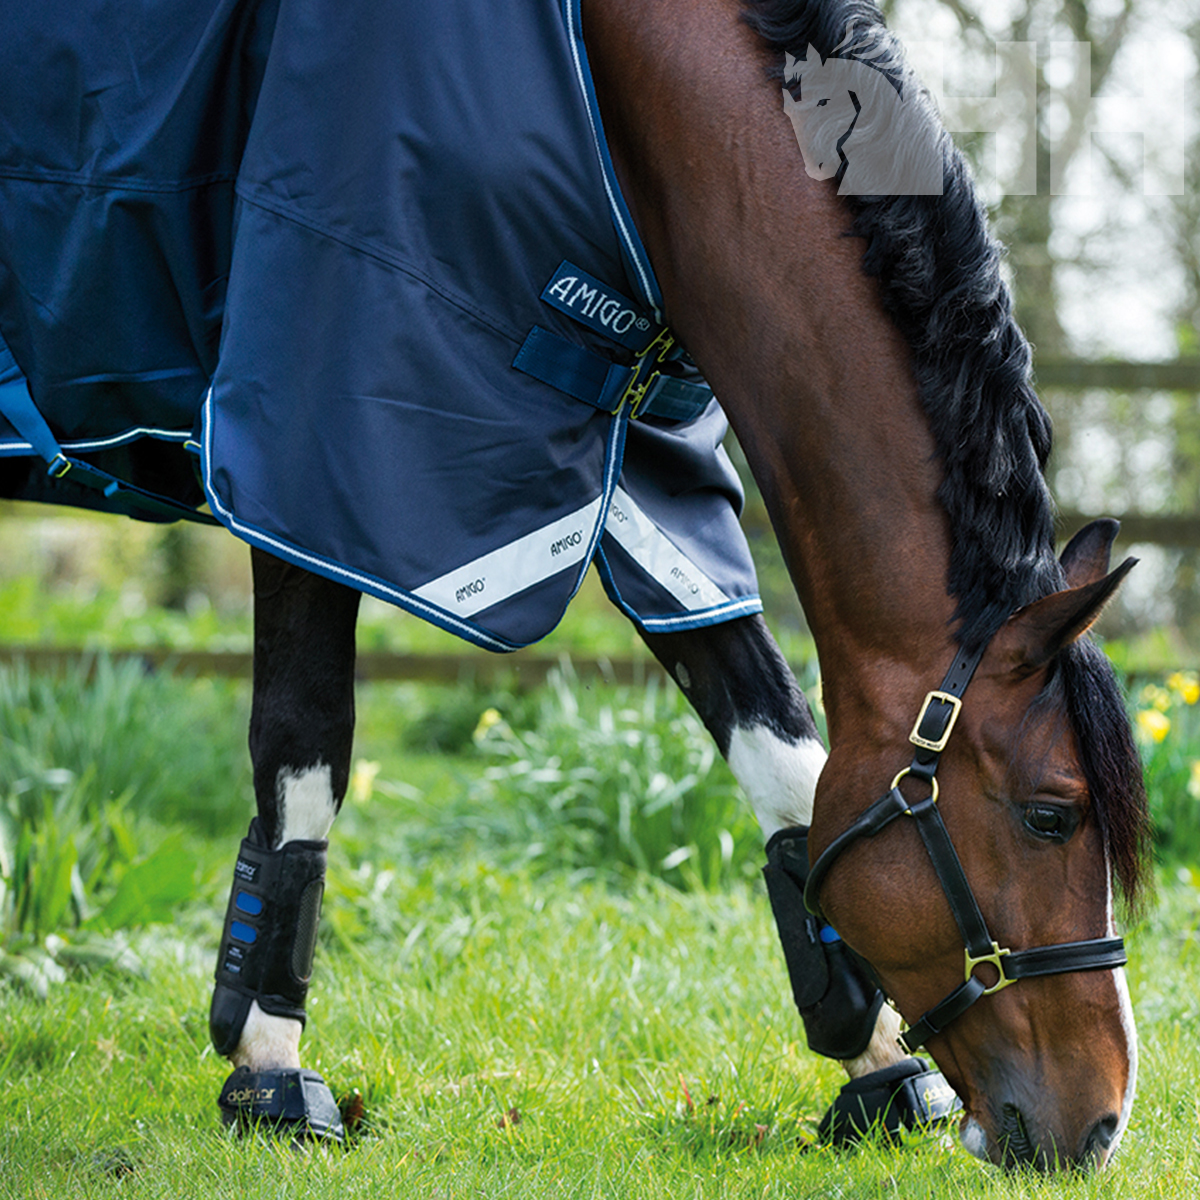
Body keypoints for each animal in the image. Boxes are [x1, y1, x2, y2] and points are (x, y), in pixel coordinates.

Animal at [0, 0, 1150, 1172]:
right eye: (1053, 816)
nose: (1101, 1123)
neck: (612, 86)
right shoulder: (311, 459)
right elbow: (305, 746)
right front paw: (267, 1067)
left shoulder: (642, 475)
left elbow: (777, 746)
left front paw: (872, 1065)